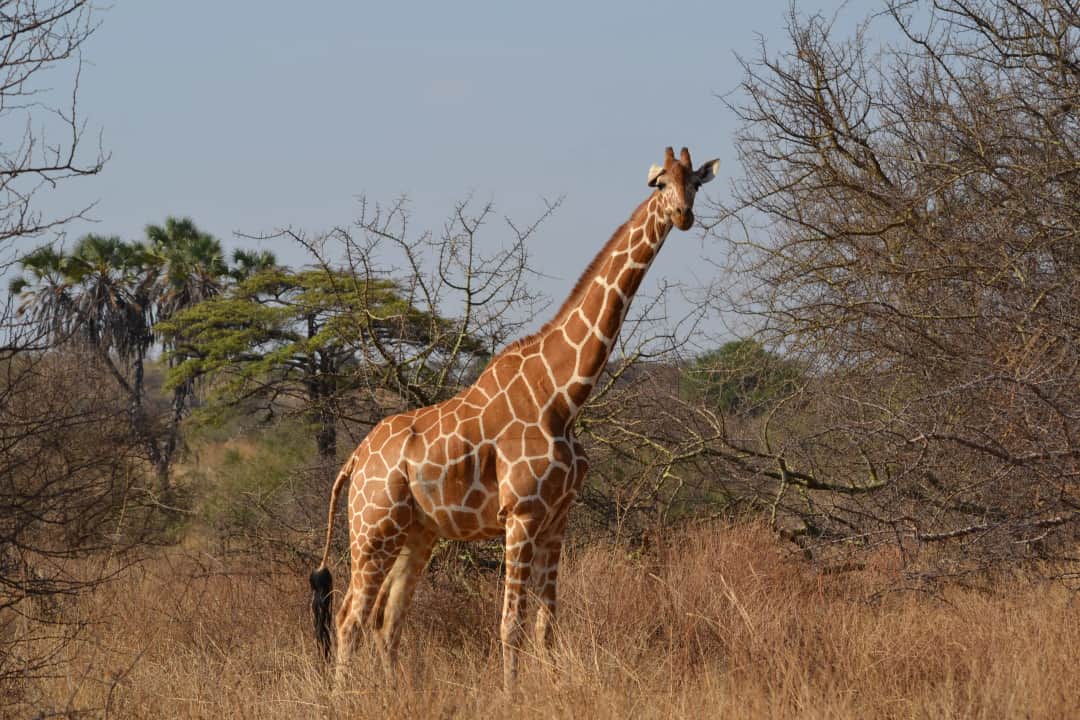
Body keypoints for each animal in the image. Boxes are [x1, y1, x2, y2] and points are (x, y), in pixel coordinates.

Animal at [310, 146, 719, 690]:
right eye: (659, 184)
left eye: (694, 182)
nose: (683, 215)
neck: (563, 395)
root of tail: (354, 461)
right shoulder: (520, 514)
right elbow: (511, 625)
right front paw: (511, 694)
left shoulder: (557, 517)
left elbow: (547, 625)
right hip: (372, 530)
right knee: (349, 618)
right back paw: (343, 698)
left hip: (417, 534)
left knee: (386, 620)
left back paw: (395, 693)